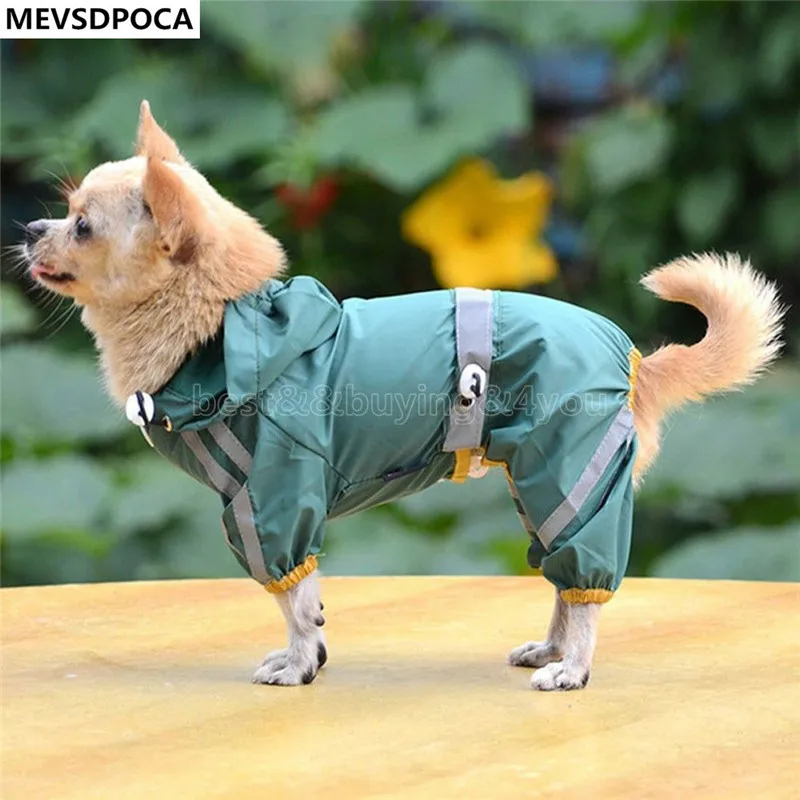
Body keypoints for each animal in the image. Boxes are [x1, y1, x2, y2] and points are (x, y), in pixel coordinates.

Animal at [22, 101, 784, 690]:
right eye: (65, 212)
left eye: (82, 226)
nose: (30, 229)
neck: (224, 327)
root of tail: (634, 362)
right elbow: (310, 603)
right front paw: (313, 655)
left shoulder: (273, 503)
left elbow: (294, 600)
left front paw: (298, 666)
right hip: (542, 487)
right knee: (564, 587)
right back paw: (552, 648)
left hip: (572, 482)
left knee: (585, 588)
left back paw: (573, 668)